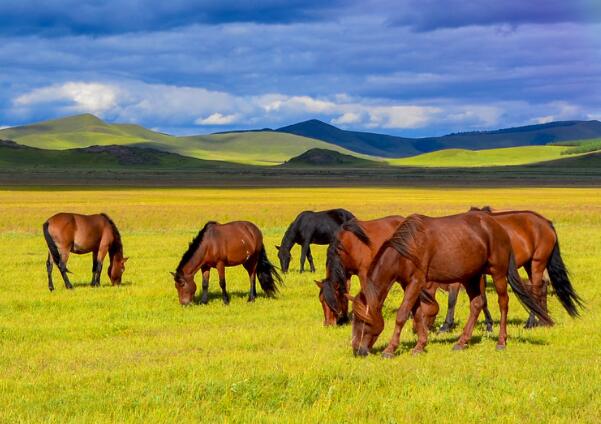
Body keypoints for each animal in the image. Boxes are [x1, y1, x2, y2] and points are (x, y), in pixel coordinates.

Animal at [350, 212, 552, 358]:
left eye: (362, 320)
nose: (357, 349)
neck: (406, 249)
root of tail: (498, 227)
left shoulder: (416, 282)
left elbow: (402, 314)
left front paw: (390, 349)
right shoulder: (409, 283)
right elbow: (417, 314)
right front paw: (420, 345)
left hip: (498, 273)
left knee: (503, 303)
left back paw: (501, 342)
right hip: (471, 276)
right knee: (477, 304)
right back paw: (462, 342)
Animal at [436, 207, 580, 330]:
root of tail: (546, 222)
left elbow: (452, 298)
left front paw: (446, 325)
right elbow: (483, 298)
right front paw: (489, 324)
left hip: (537, 262)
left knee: (536, 290)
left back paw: (531, 322)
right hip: (529, 264)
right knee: (542, 286)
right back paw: (542, 320)